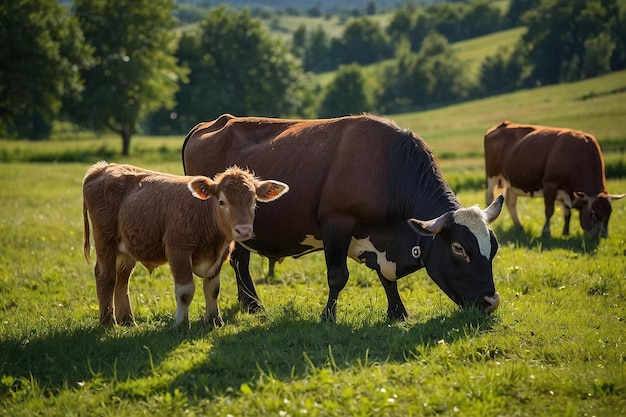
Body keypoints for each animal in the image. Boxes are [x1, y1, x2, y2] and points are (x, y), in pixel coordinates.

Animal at [80, 161, 290, 326]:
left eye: (254, 201)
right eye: (222, 202)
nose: (244, 230)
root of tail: (103, 167)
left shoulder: (219, 256)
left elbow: (213, 289)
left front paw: (214, 320)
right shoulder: (178, 250)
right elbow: (185, 291)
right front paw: (181, 324)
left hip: (126, 249)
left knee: (122, 281)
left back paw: (128, 321)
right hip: (105, 239)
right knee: (106, 277)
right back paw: (108, 322)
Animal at [180, 112, 502, 320]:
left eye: (494, 247)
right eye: (459, 249)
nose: (492, 301)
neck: (387, 169)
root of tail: (212, 123)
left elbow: (386, 278)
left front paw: (397, 312)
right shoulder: (337, 223)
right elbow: (337, 276)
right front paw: (328, 315)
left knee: (240, 260)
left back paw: (250, 304)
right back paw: (253, 304)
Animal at [482, 120, 620, 237]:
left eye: (609, 213)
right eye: (593, 213)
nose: (603, 236)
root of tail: (503, 124)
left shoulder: (565, 190)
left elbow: (567, 213)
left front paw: (565, 233)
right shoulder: (550, 184)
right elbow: (549, 211)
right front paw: (546, 232)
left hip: (512, 182)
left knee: (511, 202)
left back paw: (519, 227)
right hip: (492, 176)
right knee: (489, 198)